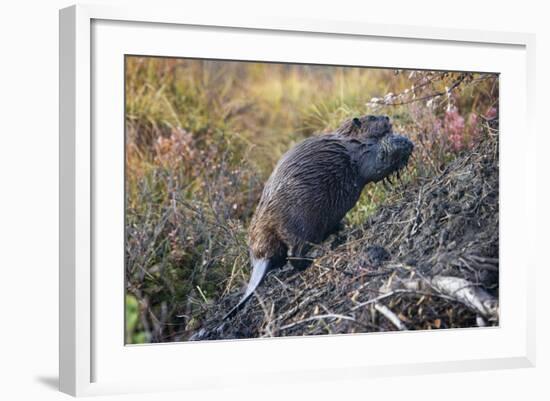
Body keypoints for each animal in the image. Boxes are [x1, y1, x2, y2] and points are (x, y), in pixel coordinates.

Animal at [224, 115, 414, 318]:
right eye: (372, 117)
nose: (386, 117)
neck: (349, 140)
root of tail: (260, 257)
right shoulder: (361, 152)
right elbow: (376, 164)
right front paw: (400, 153)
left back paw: (340, 233)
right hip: (300, 223)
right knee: (295, 255)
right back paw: (311, 260)